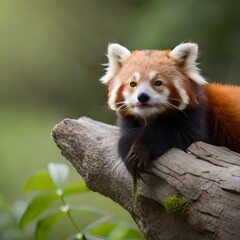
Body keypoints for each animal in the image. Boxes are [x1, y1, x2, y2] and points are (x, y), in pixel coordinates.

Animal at [100, 42, 240, 178]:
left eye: (157, 82)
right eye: (132, 84)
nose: (142, 97)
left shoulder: (199, 118)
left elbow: (175, 133)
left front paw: (138, 150)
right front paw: (128, 144)